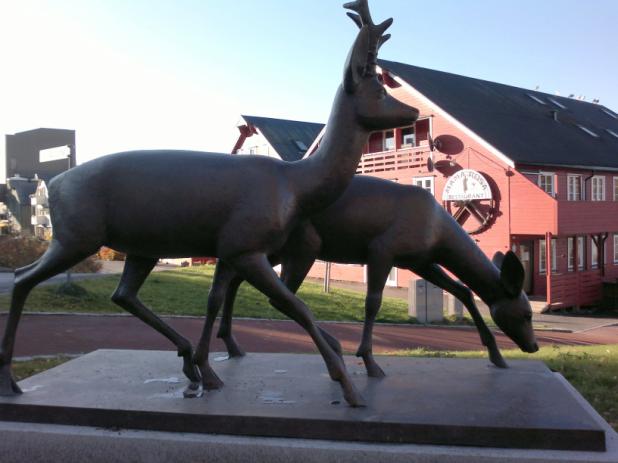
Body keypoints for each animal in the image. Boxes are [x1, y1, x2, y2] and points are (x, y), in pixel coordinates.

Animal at [0, 0, 418, 406]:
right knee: (23, 278)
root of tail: (55, 185)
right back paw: (11, 381)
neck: (296, 186)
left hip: (138, 245)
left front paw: (209, 370)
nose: (413, 112)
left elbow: (214, 300)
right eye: (379, 91)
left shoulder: (228, 247)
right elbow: (295, 306)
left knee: (121, 293)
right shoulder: (246, 245)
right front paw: (347, 385)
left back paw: (187, 363)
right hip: (77, 236)